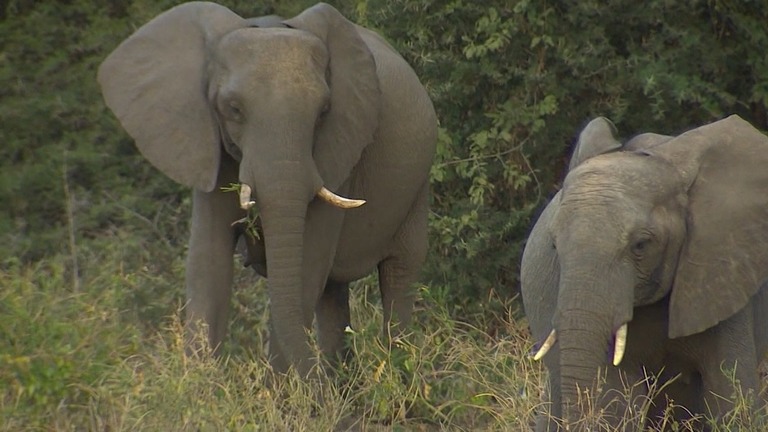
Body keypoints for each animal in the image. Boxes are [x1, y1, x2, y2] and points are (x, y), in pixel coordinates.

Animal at [97, 1, 436, 376]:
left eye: (324, 111)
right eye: (233, 108)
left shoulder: (339, 151)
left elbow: (307, 263)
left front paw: (285, 389)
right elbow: (207, 262)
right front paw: (199, 386)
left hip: (418, 186)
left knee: (399, 271)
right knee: (333, 292)